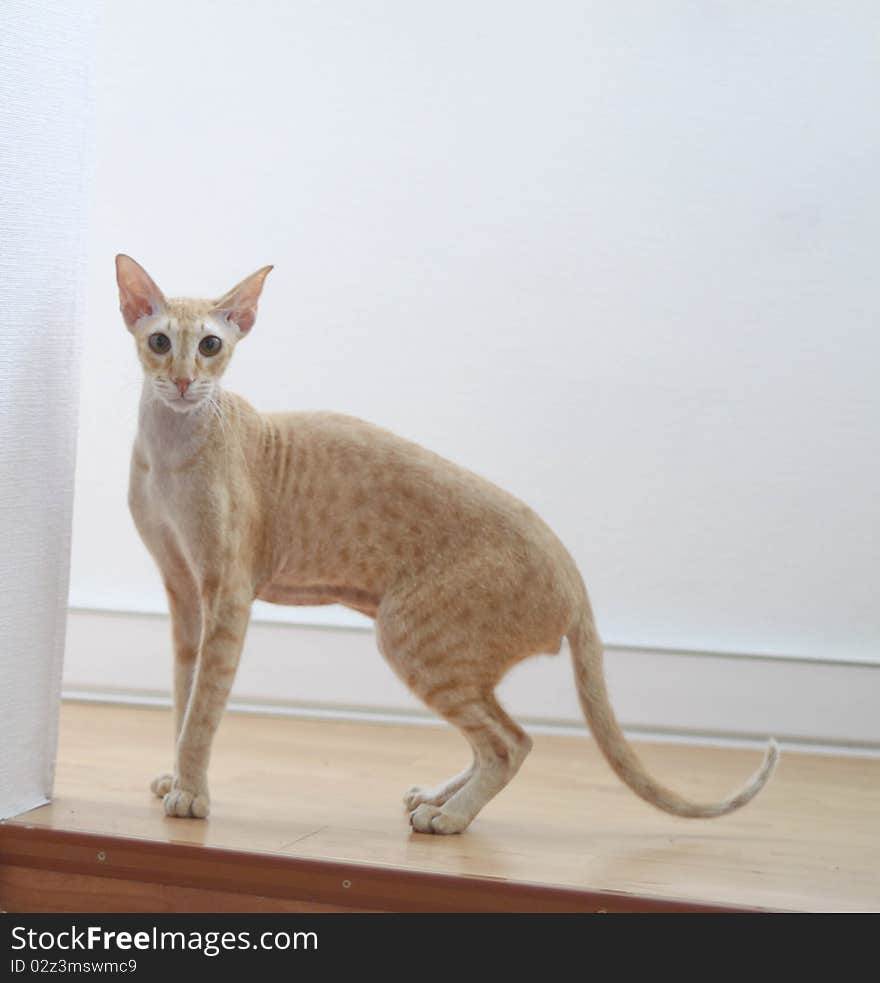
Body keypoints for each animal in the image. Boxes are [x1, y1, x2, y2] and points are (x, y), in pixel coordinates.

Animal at [115, 256, 776, 836]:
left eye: (209, 346)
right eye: (159, 342)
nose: (182, 381)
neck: (170, 448)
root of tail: (572, 570)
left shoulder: (227, 594)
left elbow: (204, 706)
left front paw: (192, 796)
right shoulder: (183, 591)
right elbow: (183, 694)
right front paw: (177, 777)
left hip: (412, 633)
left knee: (508, 743)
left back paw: (449, 819)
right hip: (449, 654)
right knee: (513, 736)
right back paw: (439, 796)